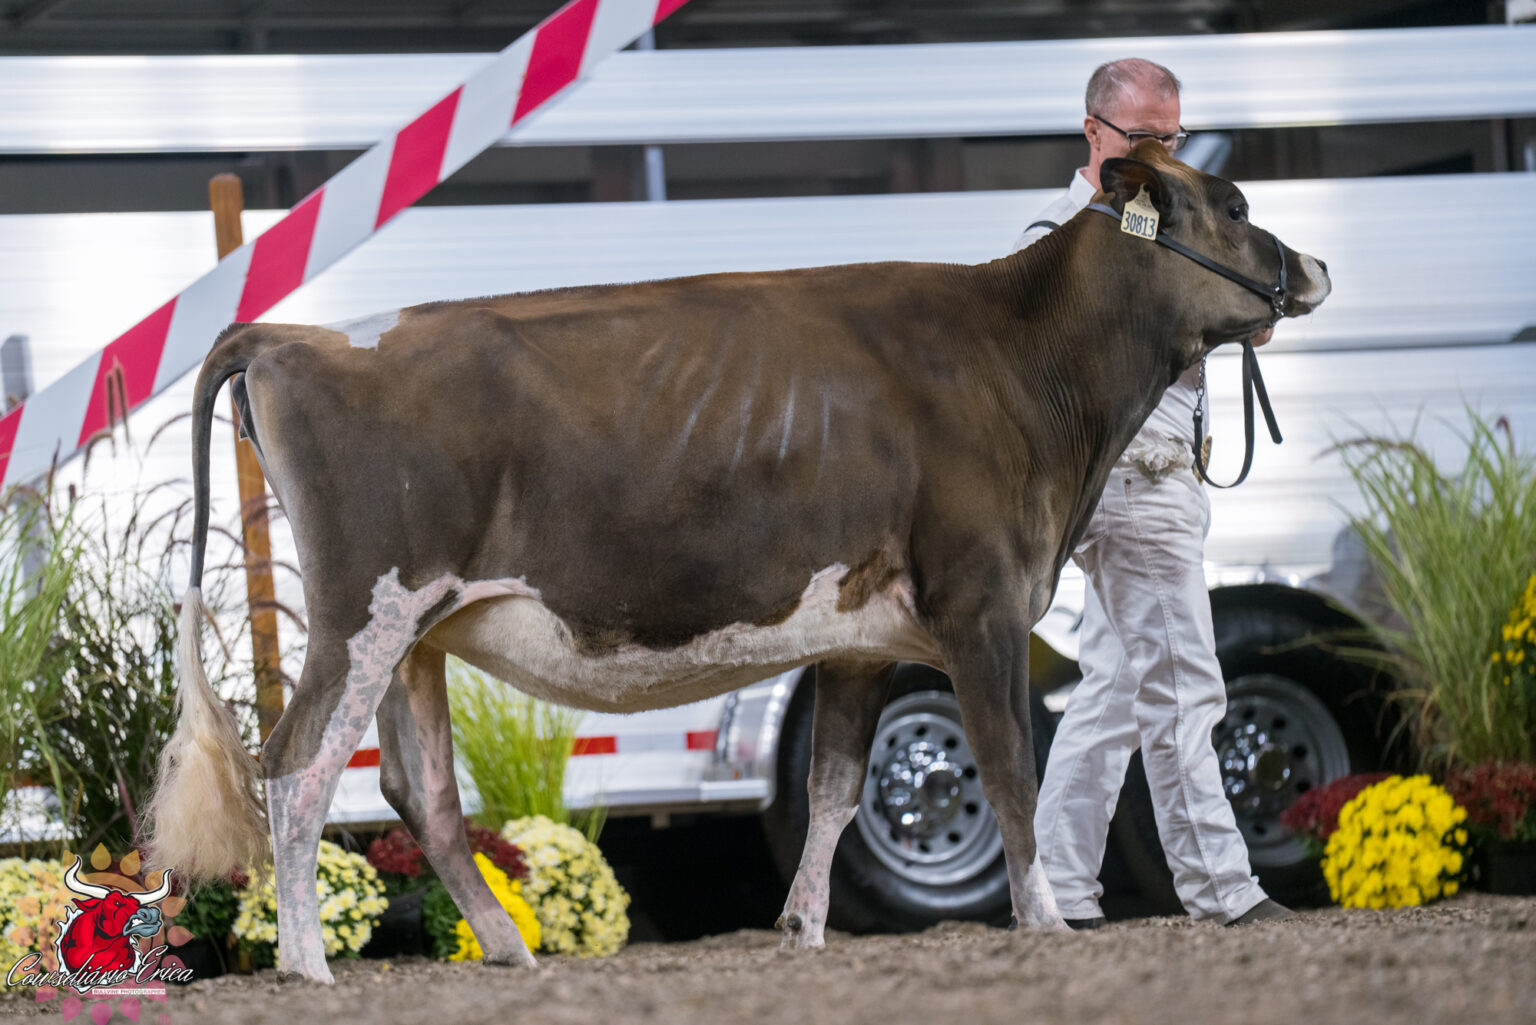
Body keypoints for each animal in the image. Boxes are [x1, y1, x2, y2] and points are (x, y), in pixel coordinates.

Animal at [145, 141, 1329, 983]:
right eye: (1233, 204)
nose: (1315, 263)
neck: (1025, 364)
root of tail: (297, 336)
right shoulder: (984, 601)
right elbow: (1009, 773)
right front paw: (1044, 920)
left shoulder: (862, 636)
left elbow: (836, 787)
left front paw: (801, 927)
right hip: (365, 608)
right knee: (295, 765)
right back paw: (308, 962)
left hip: (418, 631)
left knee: (418, 788)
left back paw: (511, 949)